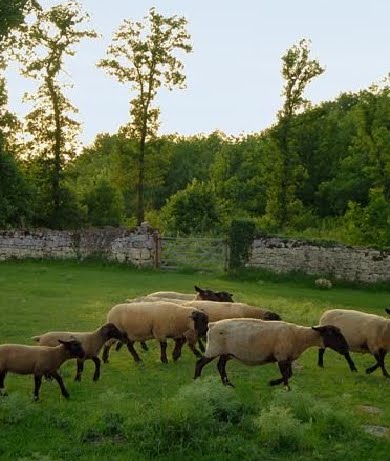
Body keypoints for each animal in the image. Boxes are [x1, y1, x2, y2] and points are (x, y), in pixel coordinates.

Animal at [193, 318, 354, 390]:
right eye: (333, 334)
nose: (346, 348)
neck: (300, 337)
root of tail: (212, 325)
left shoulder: (287, 357)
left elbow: (289, 374)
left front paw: (273, 383)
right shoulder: (282, 357)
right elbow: (286, 375)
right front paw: (286, 389)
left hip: (225, 352)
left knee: (220, 366)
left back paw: (228, 384)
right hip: (214, 349)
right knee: (200, 363)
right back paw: (197, 380)